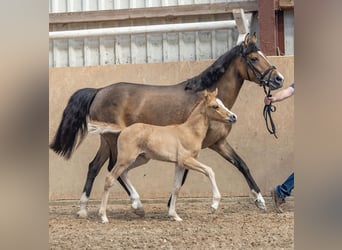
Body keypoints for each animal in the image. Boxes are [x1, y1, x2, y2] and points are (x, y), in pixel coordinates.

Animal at [89, 89, 236, 222]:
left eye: (222, 104)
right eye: (215, 106)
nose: (233, 117)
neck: (190, 132)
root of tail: (124, 129)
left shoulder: (179, 164)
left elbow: (176, 188)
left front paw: (174, 215)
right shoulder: (187, 160)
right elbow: (209, 171)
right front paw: (214, 205)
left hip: (141, 159)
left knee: (123, 173)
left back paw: (137, 207)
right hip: (126, 159)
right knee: (110, 178)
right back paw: (103, 216)